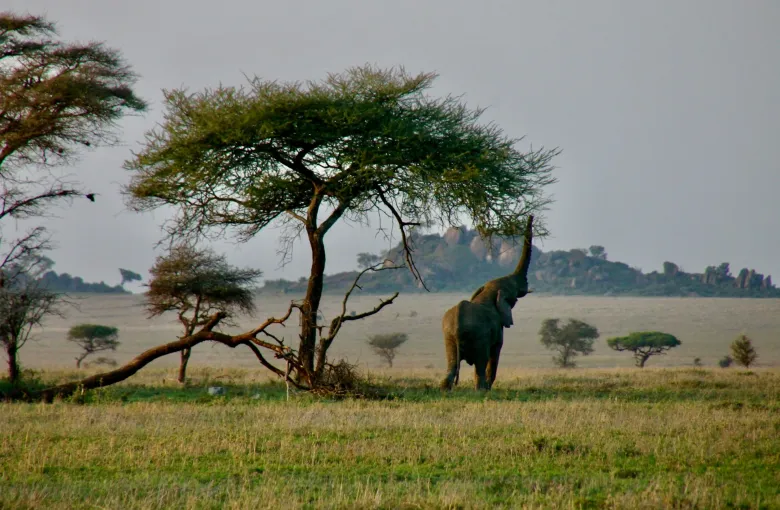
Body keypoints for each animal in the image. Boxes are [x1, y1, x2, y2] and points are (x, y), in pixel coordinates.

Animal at [440, 215, 534, 391]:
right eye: (513, 293)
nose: (531, 215)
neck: (488, 292)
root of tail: (457, 323)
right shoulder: (497, 327)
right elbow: (495, 352)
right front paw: (489, 388)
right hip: (478, 335)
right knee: (481, 362)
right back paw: (481, 390)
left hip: (448, 335)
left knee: (452, 364)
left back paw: (445, 390)